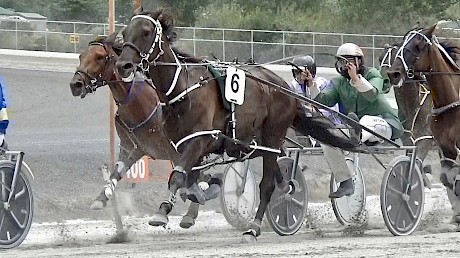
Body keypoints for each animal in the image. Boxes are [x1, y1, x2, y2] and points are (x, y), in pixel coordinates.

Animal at [113, 8, 358, 242]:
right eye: (124, 34)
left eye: (146, 32)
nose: (123, 65)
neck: (181, 90)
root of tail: (284, 87)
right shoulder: (180, 146)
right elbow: (189, 178)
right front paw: (199, 194)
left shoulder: (199, 140)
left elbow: (179, 176)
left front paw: (162, 211)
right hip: (255, 143)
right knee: (280, 180)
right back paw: (286, 190)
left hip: (273, 137)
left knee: (267, 185)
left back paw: (254, 228)